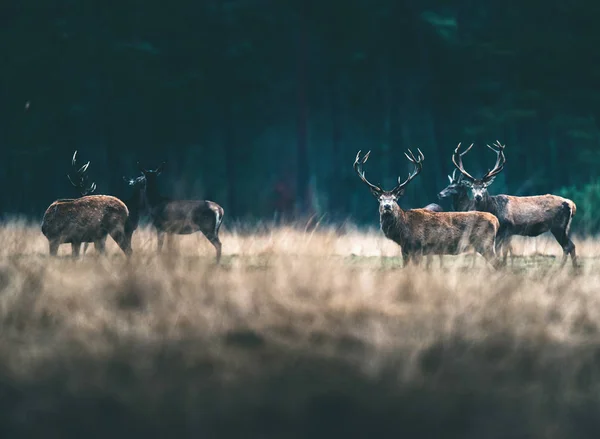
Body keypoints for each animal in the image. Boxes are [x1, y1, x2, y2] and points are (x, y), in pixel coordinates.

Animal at [352, 149, 502, 268]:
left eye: (394, 199)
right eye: (380, 199)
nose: (387, 206)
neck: (402, 230)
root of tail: (495, 220)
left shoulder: (417, 247)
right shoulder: (405, 250)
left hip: (485, 244)